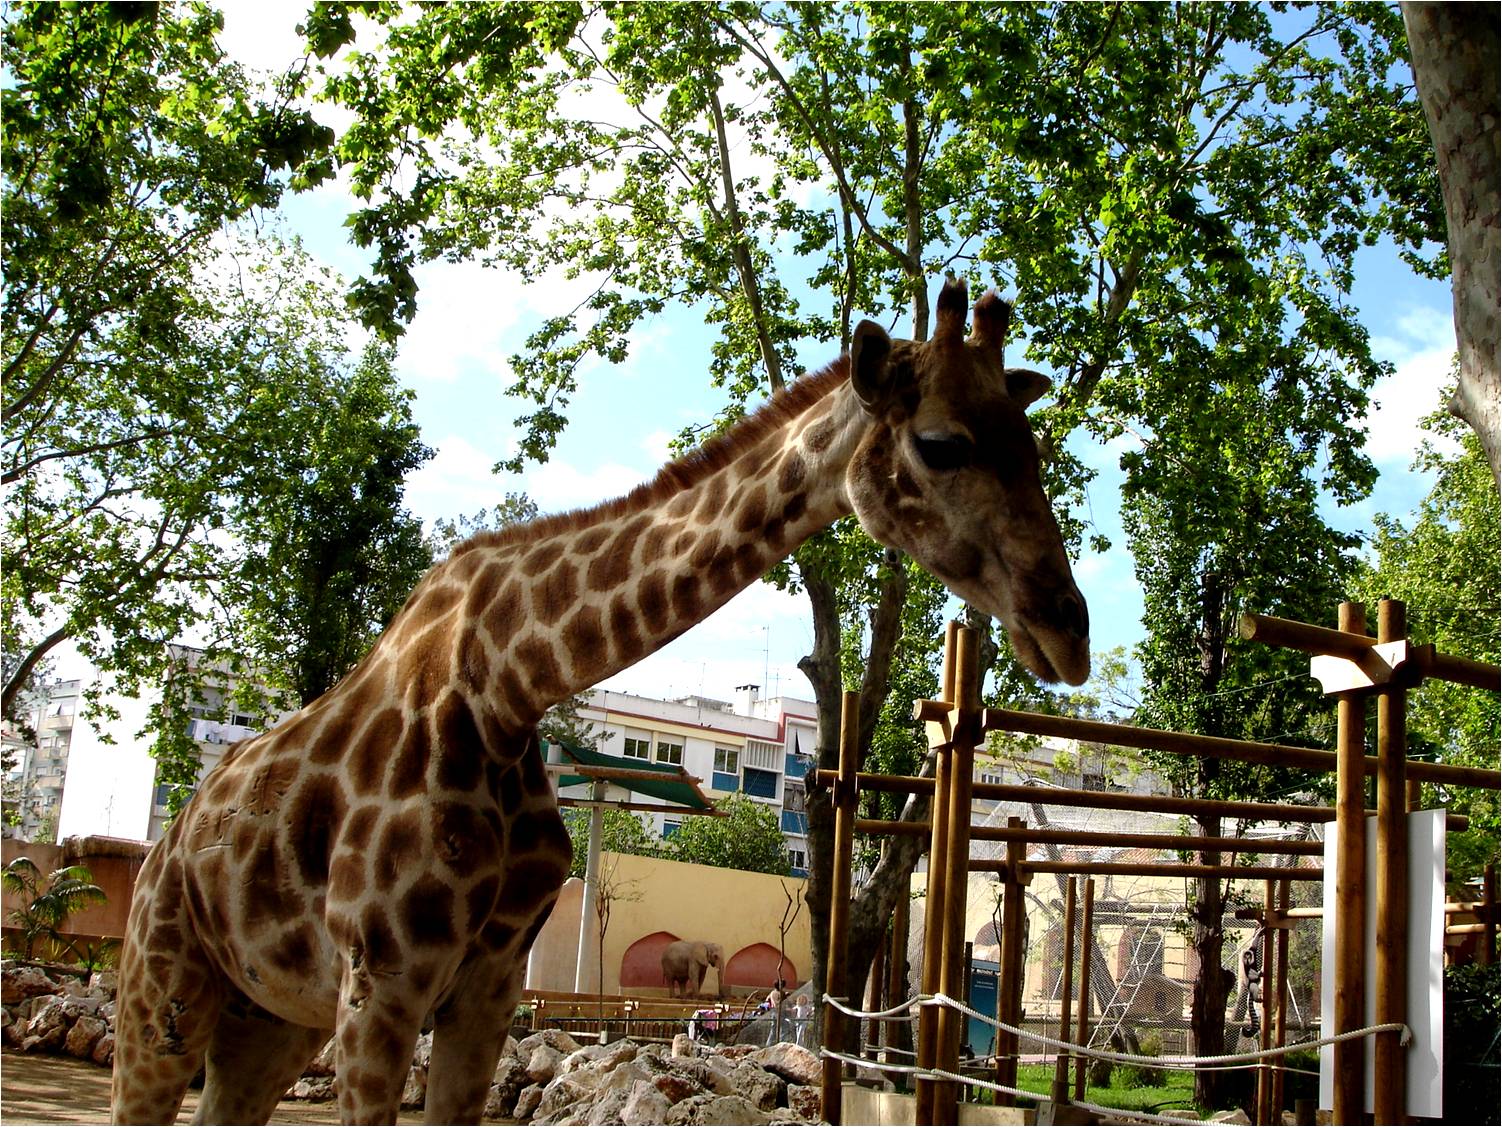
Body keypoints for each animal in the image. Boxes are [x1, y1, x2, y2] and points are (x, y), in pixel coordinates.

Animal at [110, 276, 1089, 1125]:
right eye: (941, 443)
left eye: (1035, 448)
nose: (1068, 630)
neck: (507, 682)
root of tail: (170, 840)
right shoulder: (381, 981)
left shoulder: (487, 983)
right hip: (163, 991)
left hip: (270, 1016)